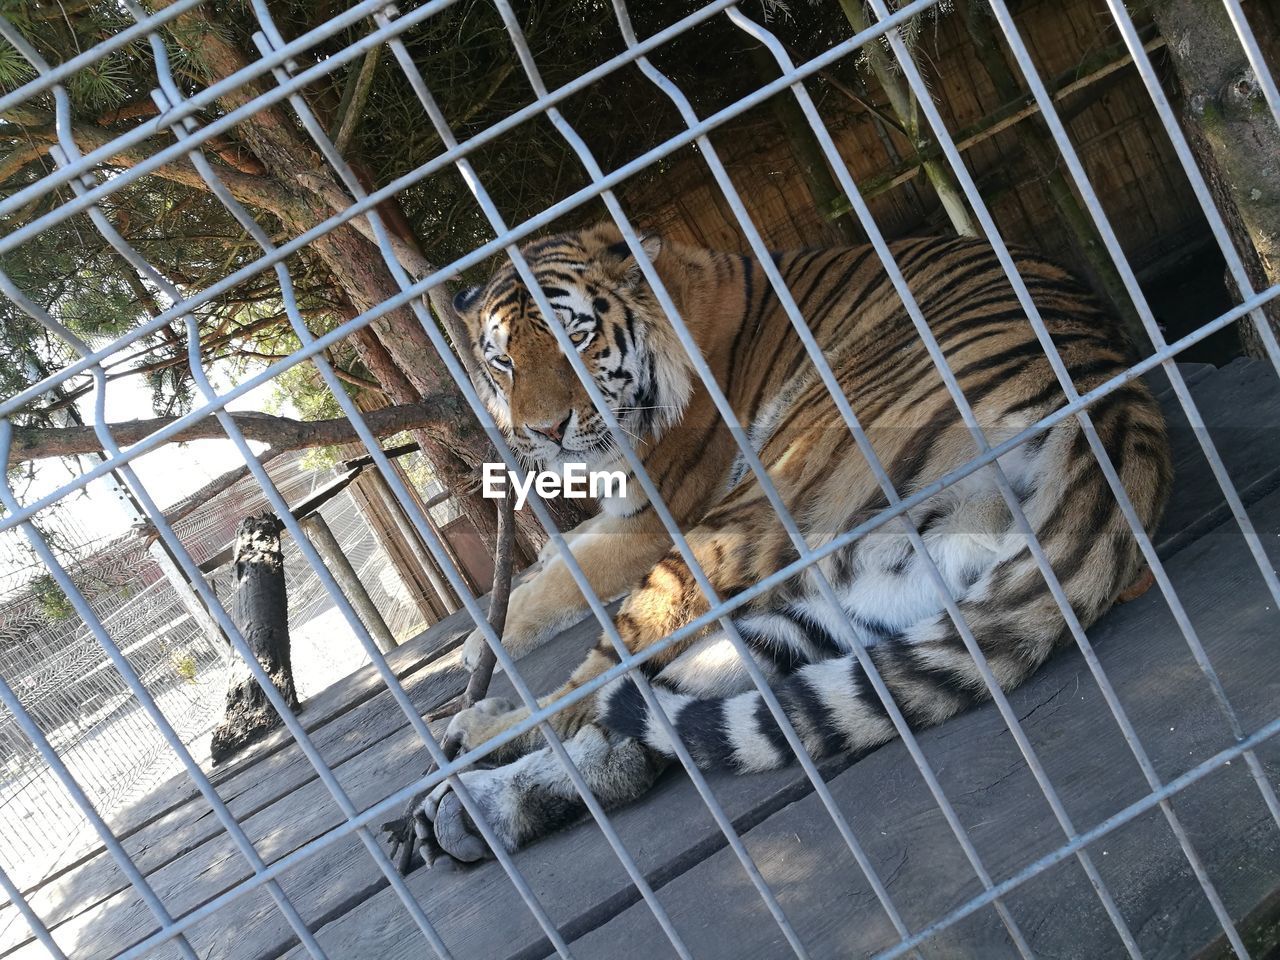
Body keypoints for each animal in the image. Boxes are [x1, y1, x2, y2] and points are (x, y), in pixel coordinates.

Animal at [417, 224, 1172, 865]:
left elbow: (572, 574)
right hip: (861, 601)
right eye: (503, 363)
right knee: (655, 718)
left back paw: (471, 740)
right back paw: (470, 813)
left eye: (576, 339)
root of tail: (1111, 414)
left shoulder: (657, 512)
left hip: (752, 508)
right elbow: (566, 551)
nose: (542, 432)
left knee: (599, 684)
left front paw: (481, 641)